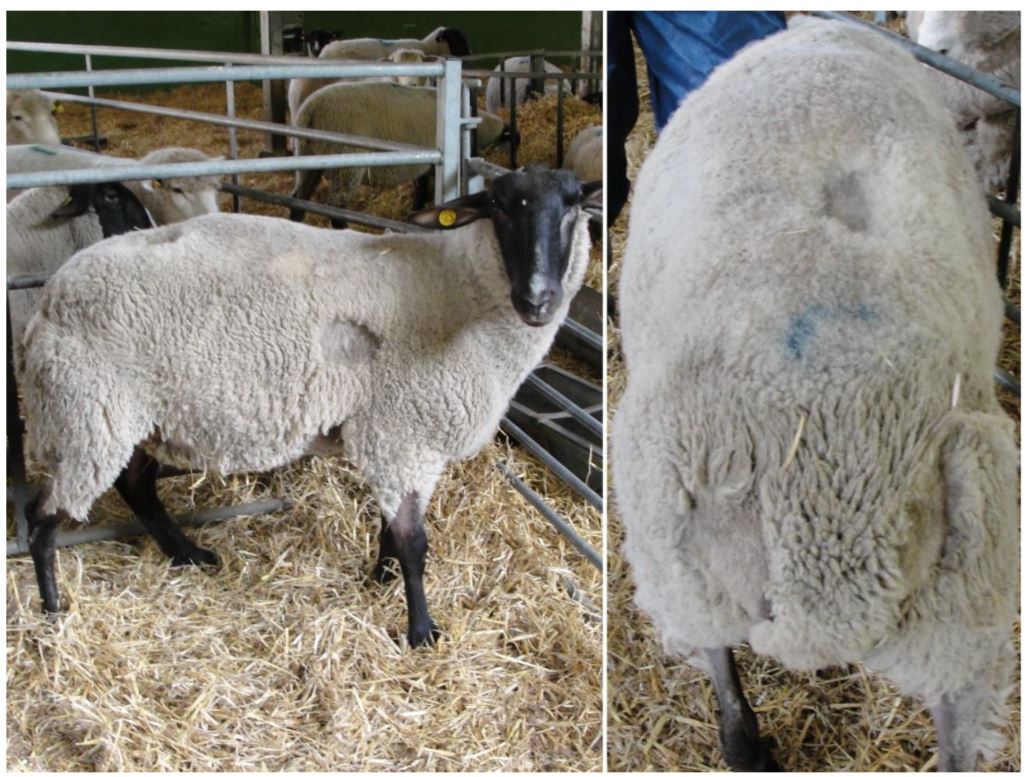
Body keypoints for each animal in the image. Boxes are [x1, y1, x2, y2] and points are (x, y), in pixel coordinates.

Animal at [20, 167, 601, 649]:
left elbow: (391, 528)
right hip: (86, 416)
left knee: (134, 486)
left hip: (128, 419)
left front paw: (381, 577)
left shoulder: (388, 436)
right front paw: (420, 631)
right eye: (501, 207)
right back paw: (52, 611)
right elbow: (414, 542)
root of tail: (49, 300)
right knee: (43, 518)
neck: (458, 291)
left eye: (575, 205)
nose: (538, 299)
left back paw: (188, 554)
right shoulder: (402, 433)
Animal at [290, 81, 505, 226]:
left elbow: (421, 188)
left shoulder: (424, 163)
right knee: (336, 205)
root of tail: (311, 109)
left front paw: (415, 212)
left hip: (309, 158)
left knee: (299, 197)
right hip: (348, 162)